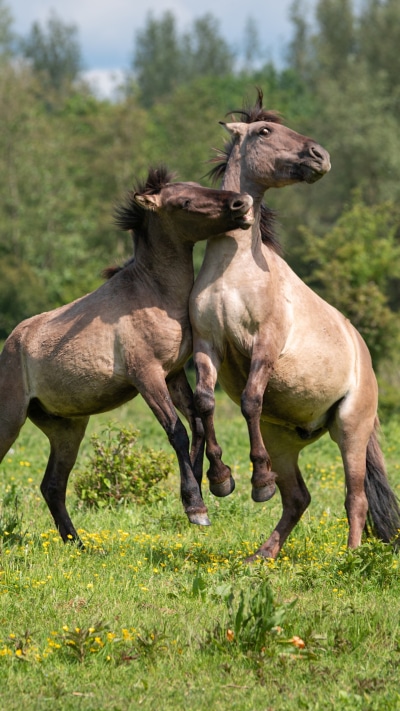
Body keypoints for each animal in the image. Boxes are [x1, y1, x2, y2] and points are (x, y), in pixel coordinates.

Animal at [0, 166, 254, 543]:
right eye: (185, 202)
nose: (242, 203)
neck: (154, 296)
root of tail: (9, 345)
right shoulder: (147, 376)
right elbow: (177, 431)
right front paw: (196, 507)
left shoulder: (173, 374)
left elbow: (196, 422)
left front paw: (216, 482)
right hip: (10, 419)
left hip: (67, 430)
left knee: (52, 486)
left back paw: (80, 546)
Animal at [190, 90, 400, 559]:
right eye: (265, 131)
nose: (320, 156)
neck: (235, 272)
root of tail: (364, 357)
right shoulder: (207, 346)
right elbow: (205, 403)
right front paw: (222, 479)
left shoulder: (265, 345)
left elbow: (250, 400)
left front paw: (257, 482)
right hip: (284, 438)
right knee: (298, 498)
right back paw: (262, 555)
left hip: (351, 429)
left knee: (355, 497)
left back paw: (350, 556)